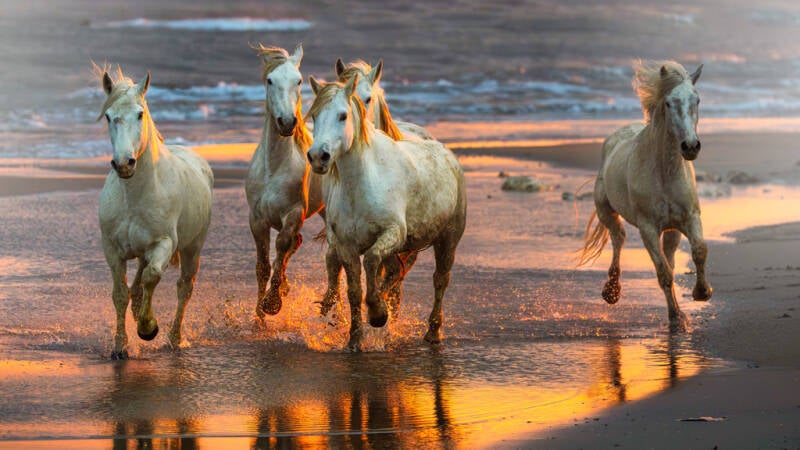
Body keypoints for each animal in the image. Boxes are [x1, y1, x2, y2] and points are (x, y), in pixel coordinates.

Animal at [98, 69, 213, 359]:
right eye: (108, 116)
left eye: (140, 114)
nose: (124, 163)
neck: (134, 196)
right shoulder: (112, 249)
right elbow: (120, 294)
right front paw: (120, 346)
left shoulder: (164, 243)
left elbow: (153, 276)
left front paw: (148, 328)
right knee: (138, 280)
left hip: (192, 248)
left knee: (184, 288)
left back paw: (174, 338)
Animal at [245, 43, 323, 318]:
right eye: (270, 80)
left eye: (298, 81)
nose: (287, 122)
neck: (274, 169)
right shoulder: (257, 219)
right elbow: (262, 266)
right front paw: (259, 316)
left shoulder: (293, 214)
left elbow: (281, 249)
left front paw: (272, 303)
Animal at [306, 75, 466, 349]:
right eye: (314, 116)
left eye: (342, 115)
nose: (318, 156)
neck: (363, 183)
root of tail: (446, 153)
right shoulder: (346, 245)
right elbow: (354, 291)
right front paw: (355, 339)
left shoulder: (393, 233)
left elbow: (371, 260)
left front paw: (378, 314)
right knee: (395, 272)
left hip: (448, 240)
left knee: (440, 279)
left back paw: (433, 332)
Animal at [578, 60, 711, 331]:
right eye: (669, 103)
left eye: (697, 99)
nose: (690, 146)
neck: (664, 173)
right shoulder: (648, 228)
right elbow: (663, 273)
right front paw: (675, 318)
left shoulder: (689, 218)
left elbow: (698, 251)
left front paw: (702, 293)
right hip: (606, 212)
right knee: (618, 238)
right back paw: (611, 291)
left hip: (671, 230)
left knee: (669, 256)